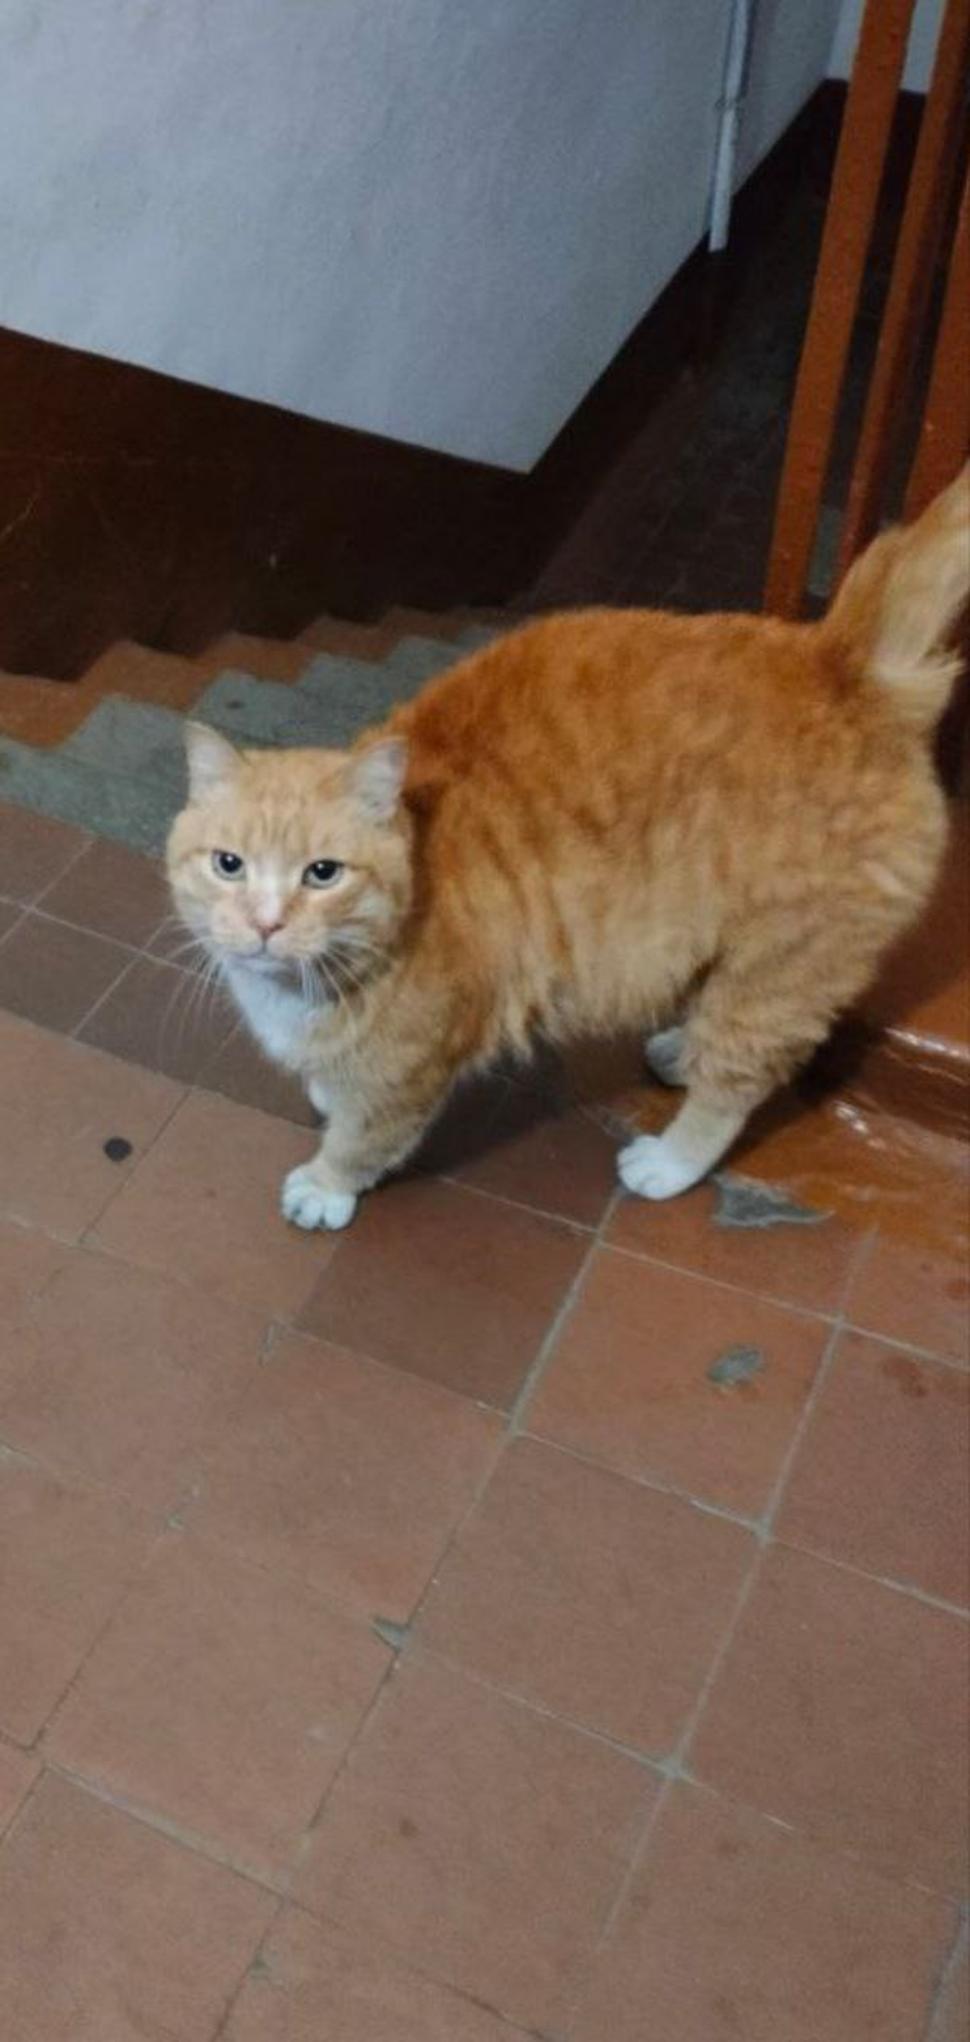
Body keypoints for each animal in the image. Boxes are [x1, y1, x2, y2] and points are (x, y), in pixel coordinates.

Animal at [167, 467, 969, 1232]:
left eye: (323, 874)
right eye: (228, 865)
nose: (265, 923)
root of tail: (842, 660)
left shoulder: (409, 1070)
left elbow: (364, 1137)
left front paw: (327, 1184)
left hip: (780, 972)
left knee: (736, 1083)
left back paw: (670, 1159)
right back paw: (680, 1048)